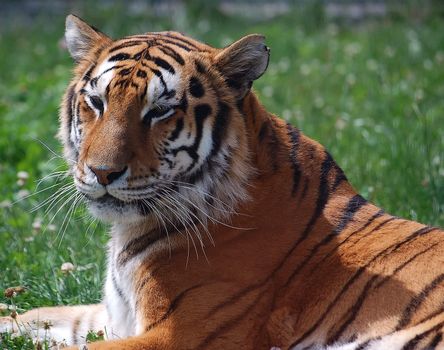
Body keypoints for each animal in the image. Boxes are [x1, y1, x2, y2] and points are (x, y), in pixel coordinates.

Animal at [0, 13, 444, 350]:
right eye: (96, 102)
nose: (102, 172)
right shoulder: (111, 315)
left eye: (159, 111)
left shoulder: (178, 335)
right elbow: (36, 316)